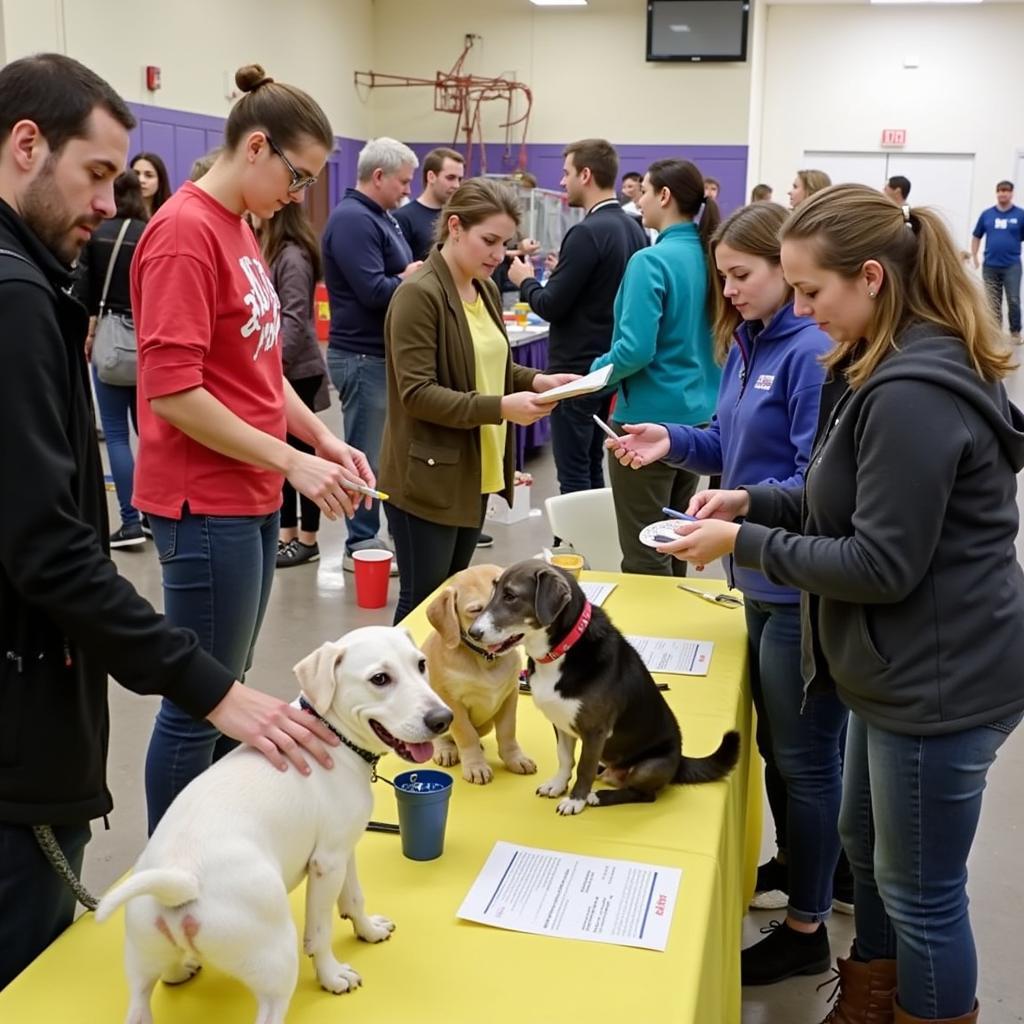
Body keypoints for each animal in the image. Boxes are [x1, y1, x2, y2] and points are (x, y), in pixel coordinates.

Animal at [96, 622, 452, 1024]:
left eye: (421, 664)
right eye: (380, 678)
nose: (443, 719)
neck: (333, 735)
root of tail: (179, 886)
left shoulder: (343, 851)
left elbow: (354, 897)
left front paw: (369, 931)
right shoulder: (327, 863)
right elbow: (320, 930)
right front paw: (332, 975)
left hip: (141, 964)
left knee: (148, 990)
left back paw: (179, 969)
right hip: (275, 963)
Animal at [421, 569, 540, 782]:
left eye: (511, 600)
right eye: (476, 610)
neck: (486, 660)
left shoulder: (510, 695)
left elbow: (508, 731)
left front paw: (515, 758)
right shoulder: (453, 703)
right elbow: (466, 734)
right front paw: (475, 766)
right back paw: (444, 750)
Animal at [468, 561, 741, 815]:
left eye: (511, 596)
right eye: (494, 591)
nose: (473, 632)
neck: (561, 653)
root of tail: (681, 762)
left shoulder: (595, 730)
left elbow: (584, 767)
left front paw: (575, 800)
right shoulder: (560, 723)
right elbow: (565, 758)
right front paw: (558, 785)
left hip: (650, 766)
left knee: (644, 794)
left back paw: (598, 797)